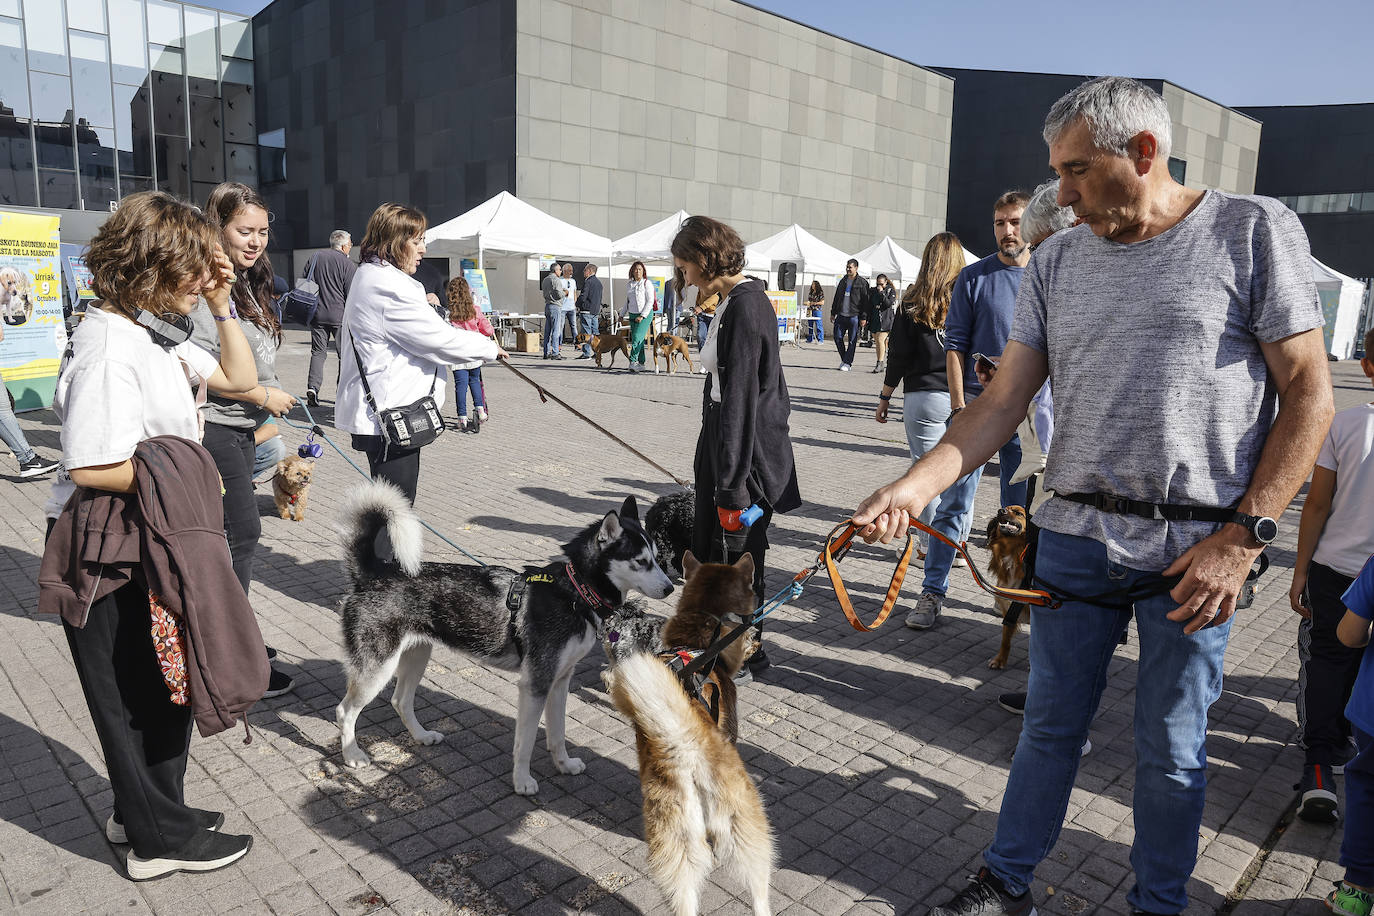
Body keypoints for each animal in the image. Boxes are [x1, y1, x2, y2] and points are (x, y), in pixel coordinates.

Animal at [607, 552, 780, 916]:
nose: (757, 639)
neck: (699, 645)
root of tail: (684, 744)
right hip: (746, 829)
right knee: (759, 892)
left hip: (677, 843)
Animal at [989, 505, 1033, 670]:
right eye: (1004, 508)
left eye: (1019, 513)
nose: (1000, 511)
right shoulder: (1009, 608)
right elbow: (1005, 640)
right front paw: (1000, 660)